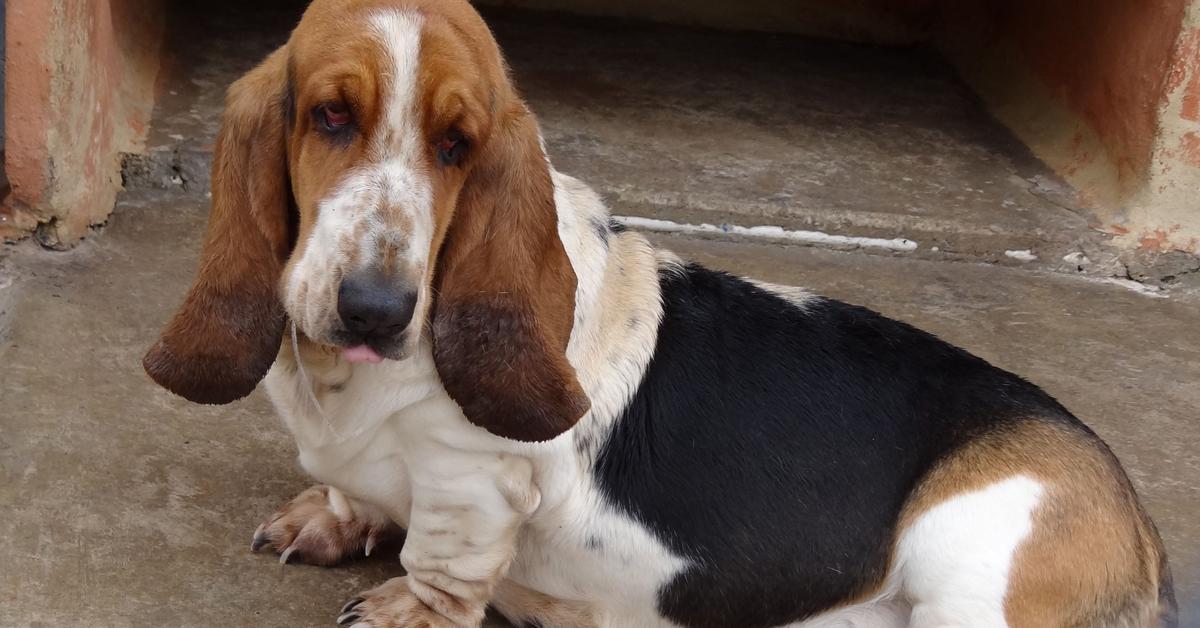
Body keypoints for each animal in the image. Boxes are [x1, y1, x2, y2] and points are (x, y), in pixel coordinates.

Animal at [145, 1, 1176, 624]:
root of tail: (1139, 522)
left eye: (457, 145)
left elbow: (445, 562)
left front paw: (404, 604)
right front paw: (332, 516)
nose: (373, 311)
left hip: (972, 561)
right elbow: (354, 490)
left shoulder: (477, 484)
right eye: (328, 116)